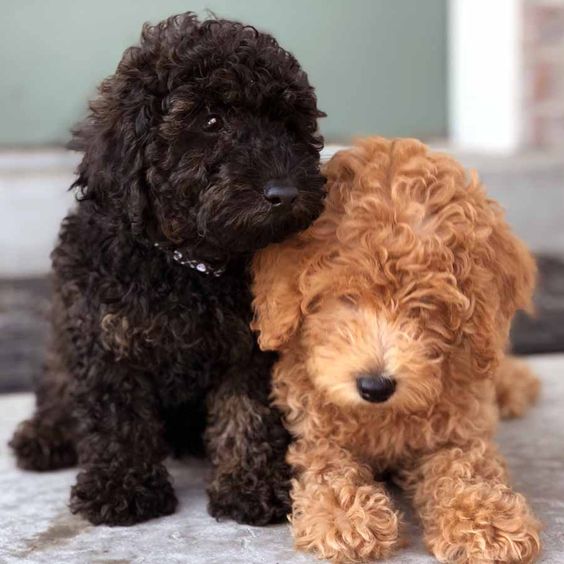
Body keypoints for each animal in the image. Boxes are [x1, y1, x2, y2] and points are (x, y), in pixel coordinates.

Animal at [11, 11, 324, 528]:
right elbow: (118, 418)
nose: (284, 192)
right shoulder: (104, 337)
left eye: (287, 124)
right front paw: (122, 487)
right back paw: (46, 436)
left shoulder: (249, 349)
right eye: (212, 121)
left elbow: (249, 413)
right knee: (55, 384)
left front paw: (251, 486)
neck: (185, 264)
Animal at [251, 138, 540, 564]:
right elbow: (326, 463)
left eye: (424, 303)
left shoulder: (457, 427)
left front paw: (485, 519)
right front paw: (347, 515)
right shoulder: (315, 427)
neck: (383, 418)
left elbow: (466, 463)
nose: (374, 386)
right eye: (346, 297)